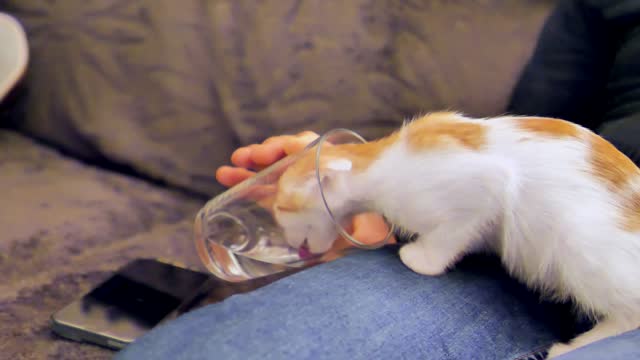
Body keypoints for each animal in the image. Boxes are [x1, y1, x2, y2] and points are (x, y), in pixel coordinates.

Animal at [272, 111, 640, 358]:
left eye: (280, 210)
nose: (289, 244)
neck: (379, 165)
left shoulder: (487, 183)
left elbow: (453, 234)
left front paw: (420, 259)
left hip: (578, 243)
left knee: (631, 313)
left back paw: (572, 347)